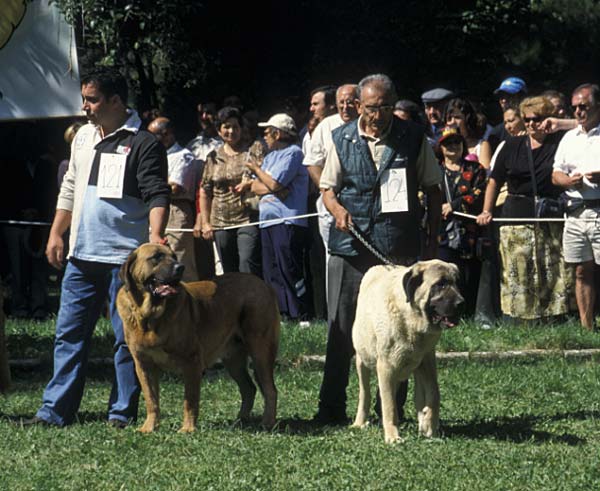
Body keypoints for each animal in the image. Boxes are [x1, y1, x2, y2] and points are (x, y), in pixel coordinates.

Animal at [116, 244, 280, 432]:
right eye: (156, 257)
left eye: (173, 257)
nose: (180, 267)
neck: (150, 316)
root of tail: (263, 284)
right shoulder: (143, 364)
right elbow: (151, 399)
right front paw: (149, 427)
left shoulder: (191, 361)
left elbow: (190, 399)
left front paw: (187, 429)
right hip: (233, 360)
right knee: (249, 388)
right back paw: (240, 421)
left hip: (261, 351)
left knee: (270, 389)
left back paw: (267, 422)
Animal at [352, 262, 464, 446]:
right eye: (440, 284)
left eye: (457, 283)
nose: (461, 303)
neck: (412, 320)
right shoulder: (386, 367)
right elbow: (389, 405)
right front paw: (392, 436)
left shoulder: (426, 362)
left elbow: (434, 394)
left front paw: (429, 427)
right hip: (363, 360)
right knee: (365, 393)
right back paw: (359, 423)